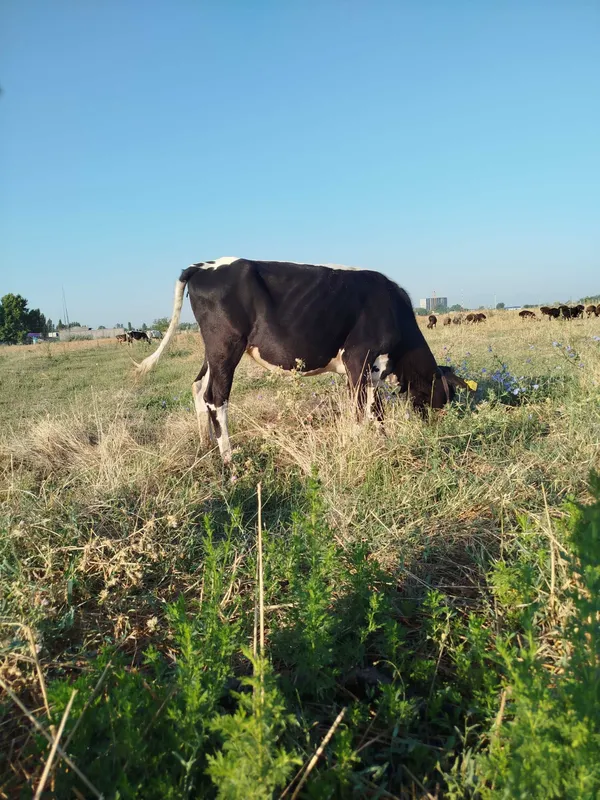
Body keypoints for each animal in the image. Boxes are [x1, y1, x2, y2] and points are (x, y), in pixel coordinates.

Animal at [135, 258, 472, 462]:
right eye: (445, 396)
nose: (439, 428)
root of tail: (205, 265)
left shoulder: (370, 370)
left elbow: (373, 408)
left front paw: (380, 440)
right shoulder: (359, 358)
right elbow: (363, 409)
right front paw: (365, 443)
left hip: (213, 351)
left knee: (198, 387)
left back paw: (205, 445)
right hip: (226, 346)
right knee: (216, 397)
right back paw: (229, 461)